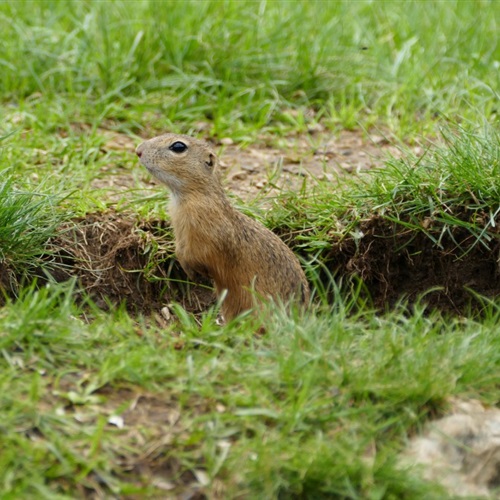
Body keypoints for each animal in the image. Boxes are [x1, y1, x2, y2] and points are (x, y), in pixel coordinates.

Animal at [136, 133, 308, 320]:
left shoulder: (207, 238)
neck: (192, 195)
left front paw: (196, 273)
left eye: (178, 147)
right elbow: (180, 251)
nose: (138, 150)